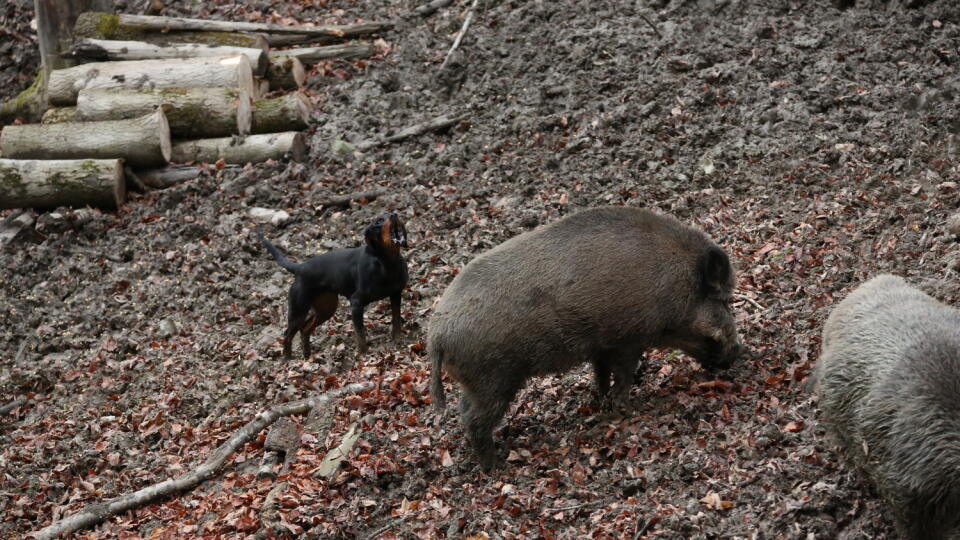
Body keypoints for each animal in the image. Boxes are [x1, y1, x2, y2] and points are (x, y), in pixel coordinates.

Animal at [260, 214, 410, 358]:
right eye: (379, 221)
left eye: (391, 213)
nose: (394, 215)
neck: (386, 263)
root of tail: (299, 268)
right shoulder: (356, 303)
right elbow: (360, 333)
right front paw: (363, 355)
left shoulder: (396, 294)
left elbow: (396, 320)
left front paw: (398, 341)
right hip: (298, 311)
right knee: (287, 335)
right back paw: (288, 359)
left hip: (326, 309)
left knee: (305, 330)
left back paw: (307, 356)